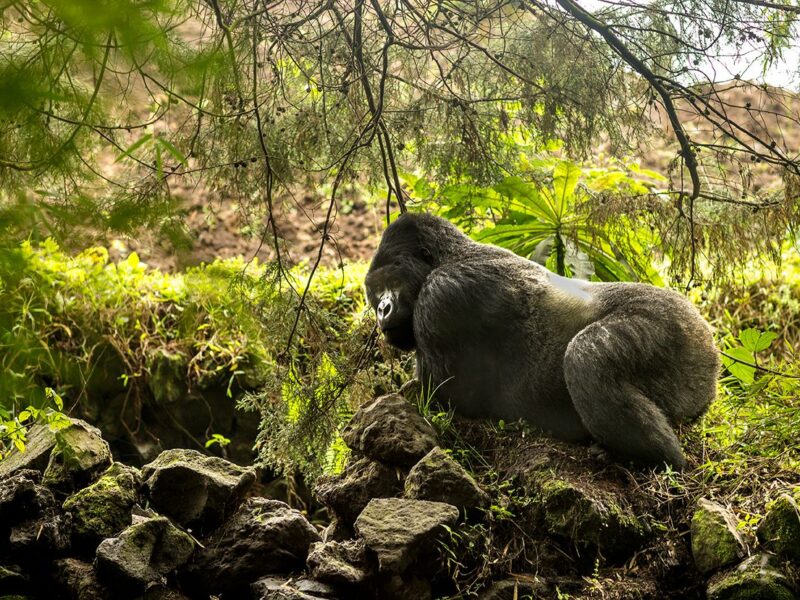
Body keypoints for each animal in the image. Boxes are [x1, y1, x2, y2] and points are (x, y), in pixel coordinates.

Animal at [364, 213, 721, 468]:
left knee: (586, 357)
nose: (382, 309)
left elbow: (441, 397)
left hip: (677, 327)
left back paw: (655, 457)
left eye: (391, 281)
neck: (448, 257)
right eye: (375, 291)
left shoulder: (443, 295)